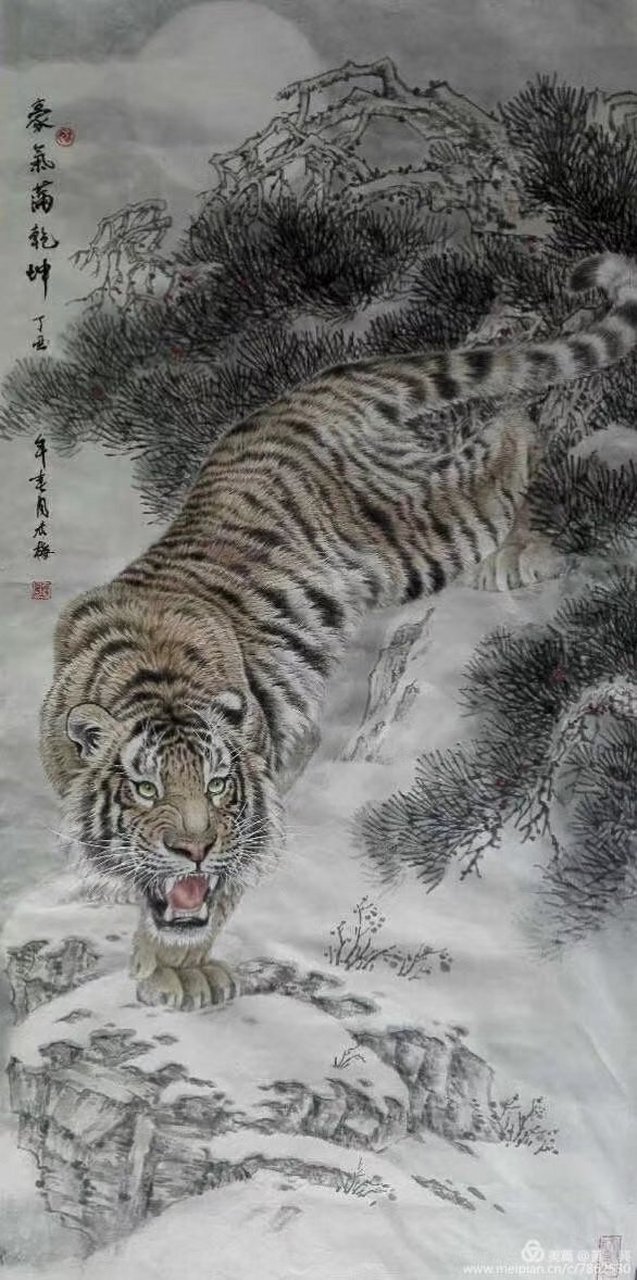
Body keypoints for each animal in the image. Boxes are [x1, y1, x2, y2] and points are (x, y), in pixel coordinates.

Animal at [40, 252, 637, 1010]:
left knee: (506, 439)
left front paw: (176, 965)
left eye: (219, 785)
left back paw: (524, 503)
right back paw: (519, 550)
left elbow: (219, 885)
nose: (194, 846)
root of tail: (302, 395)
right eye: (144, 791)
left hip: (411, 536)